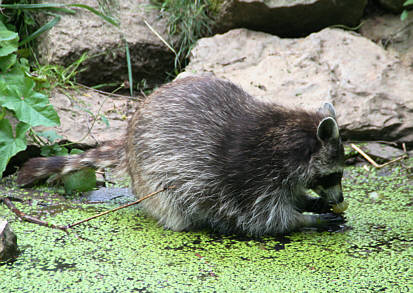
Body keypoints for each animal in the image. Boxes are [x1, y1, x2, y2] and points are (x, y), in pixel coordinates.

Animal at [16, 76, 344, 235]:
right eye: (335, 174)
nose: (340, 198)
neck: (289, 139)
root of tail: (128, 138)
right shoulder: (250, 177)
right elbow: (267, 220)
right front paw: (306, 219)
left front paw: (308, 200)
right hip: (152, 176)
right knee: (175, 206)